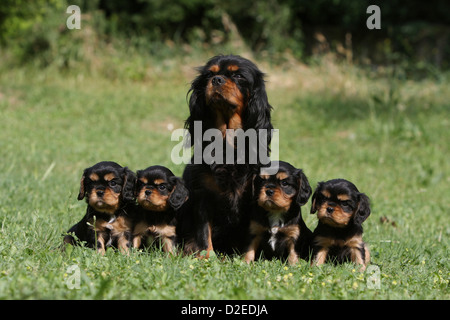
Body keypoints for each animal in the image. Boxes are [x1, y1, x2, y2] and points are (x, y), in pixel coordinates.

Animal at [179, 54, 274, 255]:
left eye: (238, 76)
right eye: (209, 75)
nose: (217, 80)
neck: (227, 142)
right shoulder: (202, 196)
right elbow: (203, 231)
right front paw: (207, 256)